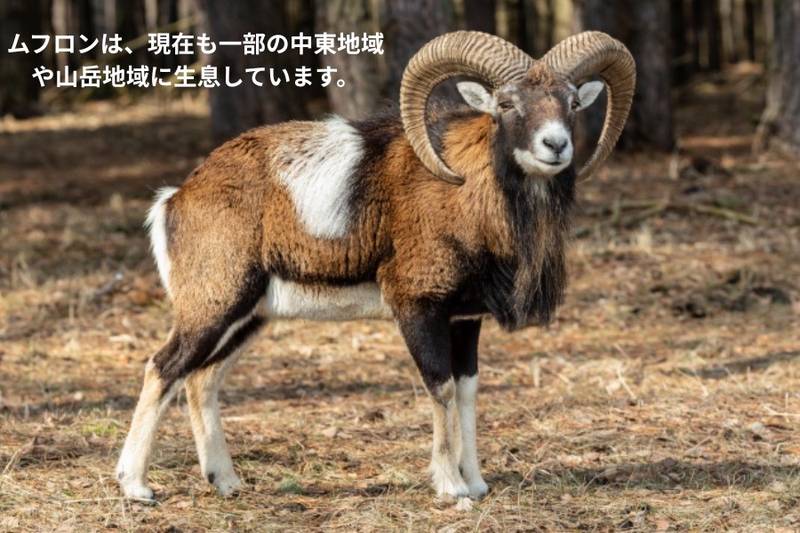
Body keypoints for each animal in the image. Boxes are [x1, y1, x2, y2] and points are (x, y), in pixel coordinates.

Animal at [116, 30, 635, 502]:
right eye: (506, 103)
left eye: (572, 102)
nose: (556, 146)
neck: (468, 196)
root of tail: (177, 198)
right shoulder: (419, 310)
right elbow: (441, 390)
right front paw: (451, 489)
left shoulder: (465, 320)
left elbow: (466, 394)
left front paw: (477, 484)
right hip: (214, 307)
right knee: (163, 368)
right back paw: (137, 487)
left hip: (247, 318)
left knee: (201, 379)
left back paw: (226, 483)